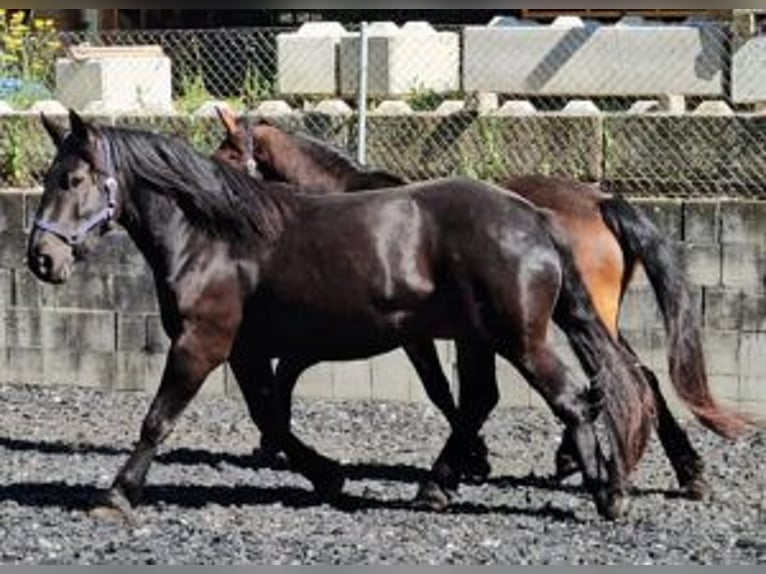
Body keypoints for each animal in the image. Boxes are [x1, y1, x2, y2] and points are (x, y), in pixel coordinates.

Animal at [27, 111, 648, 520]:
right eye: (47, 176)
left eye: (73, 179)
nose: (42, 257)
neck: (214, 236)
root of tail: (534, 216)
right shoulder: (249, 349)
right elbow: (272, 415)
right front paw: (327, 474)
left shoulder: (203, 342)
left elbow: (159, 418)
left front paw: (116, 494)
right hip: (479, 338)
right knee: (485, 399)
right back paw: (440, 487)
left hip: (520, 338)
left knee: (574, 399)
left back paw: (607, 493)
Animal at [213, 109, 752, 500]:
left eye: (225, 154)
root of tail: (600, 201)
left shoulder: (413, 336)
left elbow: (439, 390)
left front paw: (473, 457)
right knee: (639, 378)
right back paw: (682, 472)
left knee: (623, 377)